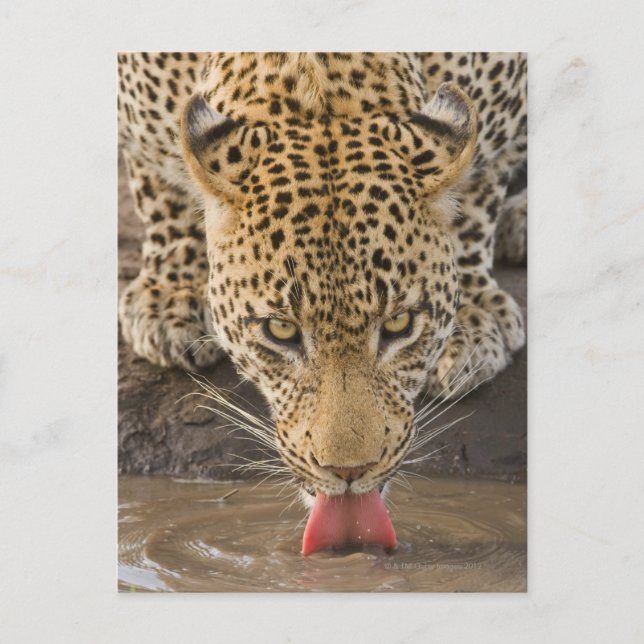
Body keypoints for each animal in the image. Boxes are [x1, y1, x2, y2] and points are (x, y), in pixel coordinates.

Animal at [118, 52, 526, 551]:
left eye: (398, 326)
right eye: (281, 331)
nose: (349, 472)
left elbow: (480, 193)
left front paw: (472, 318)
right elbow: (159, 189)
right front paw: (168, 295)